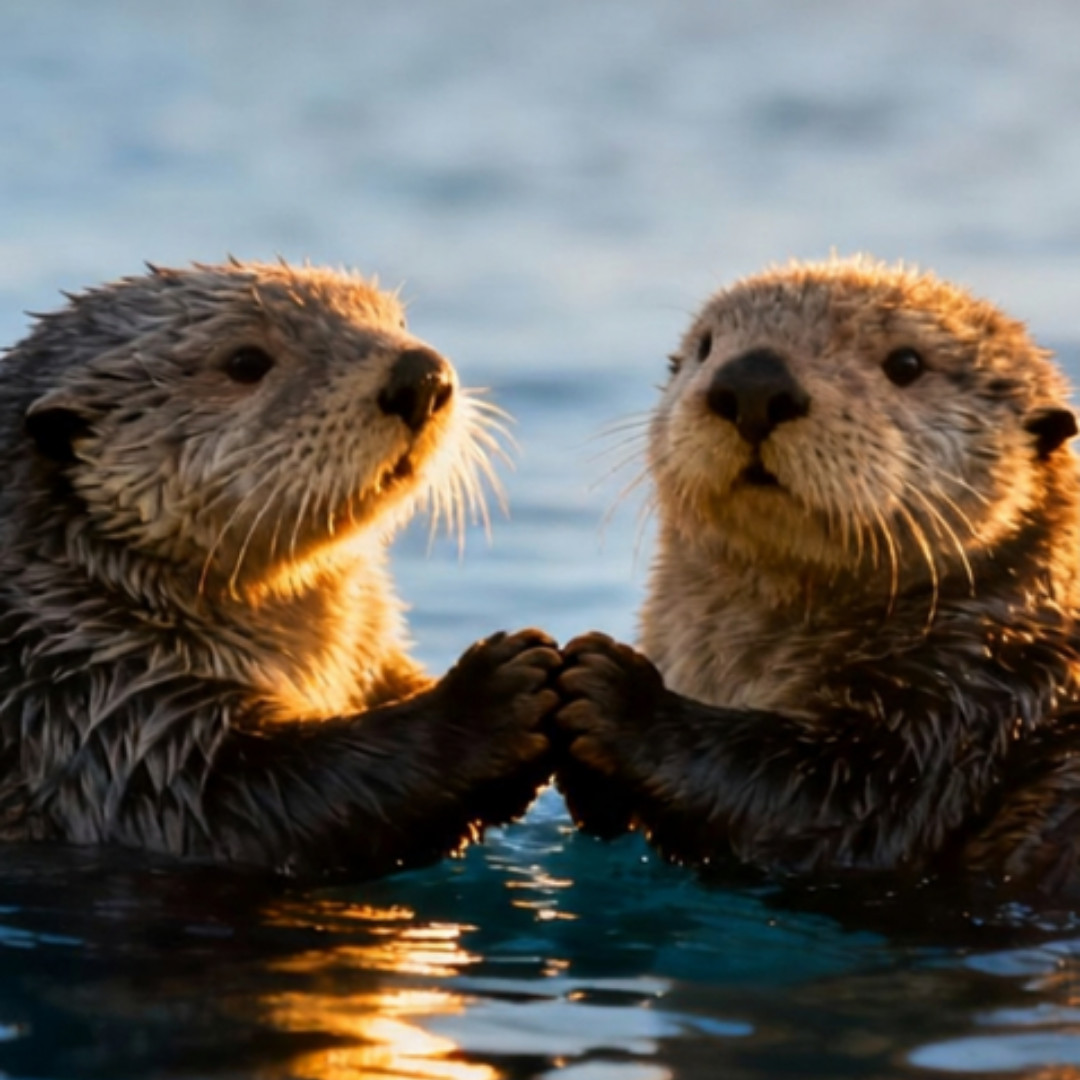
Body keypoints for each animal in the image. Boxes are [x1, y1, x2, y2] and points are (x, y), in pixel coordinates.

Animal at [0, 260, 559, 879]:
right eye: (246, 362)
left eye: (397, 321)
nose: (422, 377)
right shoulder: (97, 720)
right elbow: (245, 804)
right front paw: (497, 693)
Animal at [555, 257, 1080, 893]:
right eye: (706, 346)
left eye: (906, 364)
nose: (753, 383)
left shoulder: (959, 721)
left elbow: (827, 800)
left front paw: (615, 692)